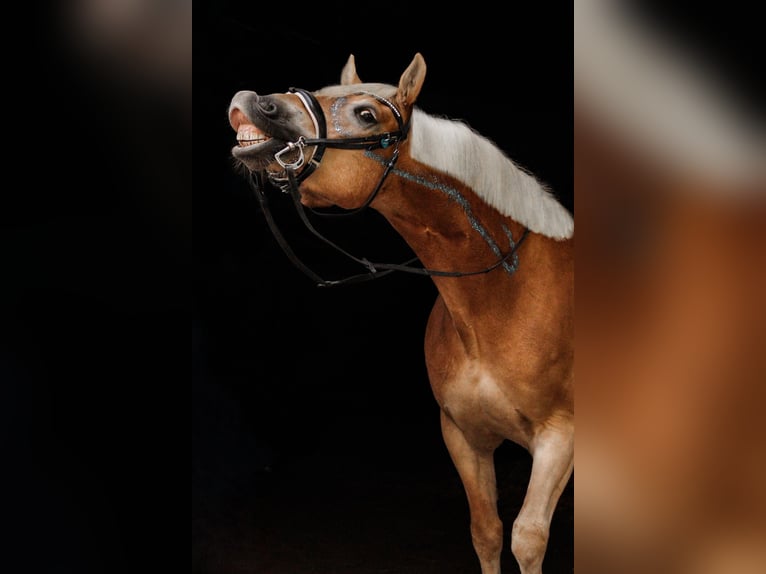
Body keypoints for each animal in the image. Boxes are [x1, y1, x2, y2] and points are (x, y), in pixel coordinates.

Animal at [227, 53, 574, 574]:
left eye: (367, 113)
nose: (250, 102)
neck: (503, 298)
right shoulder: (463, 435)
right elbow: (487, 533)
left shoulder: (560, 438)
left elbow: (527, 539)